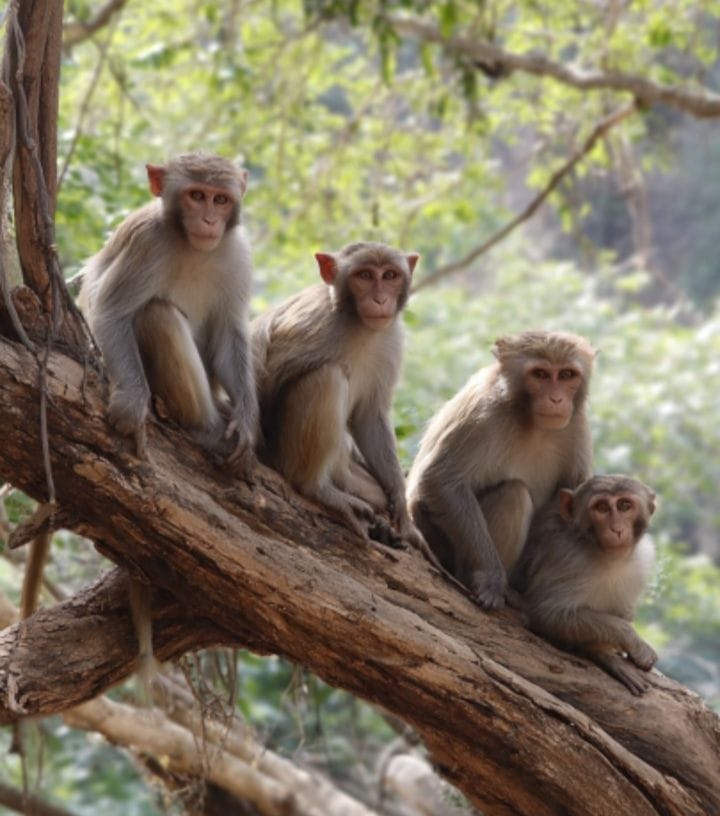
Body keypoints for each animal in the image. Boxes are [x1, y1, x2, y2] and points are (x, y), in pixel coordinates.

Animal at [77, 151, 258, 472]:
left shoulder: (238, 253)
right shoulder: (148, 241)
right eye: (197, 196)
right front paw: (131, 403)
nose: (210, 220)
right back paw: (207, 428)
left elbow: (228, 334)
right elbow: (111, 313)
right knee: (157, 314)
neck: (191, 246)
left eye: (220, 200)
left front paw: (245, 422)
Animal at [251, 242, 420, 543]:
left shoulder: (391, 339)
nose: (380, 300)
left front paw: (400, 503)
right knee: (328, 376)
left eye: (390, 275)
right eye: (365, 276)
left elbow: (369, 416)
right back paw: (316, 488)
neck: (359, 325)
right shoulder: (313, 324)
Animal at [406, 330, 596, 610]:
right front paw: (491, 578)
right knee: (513, 494)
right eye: (540, 374)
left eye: (566, 375)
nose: (556, 399)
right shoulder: (483, 415)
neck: (531, 421)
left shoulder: (576, 424)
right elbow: (441, 480)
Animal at [512, 475, 658, 695]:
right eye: (602, 507)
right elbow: (547, 613)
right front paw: (619, 646)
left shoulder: (641, 562)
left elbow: (624, 609)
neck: (605, 555)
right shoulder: (569, 560)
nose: (616, 529)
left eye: (624, 505)